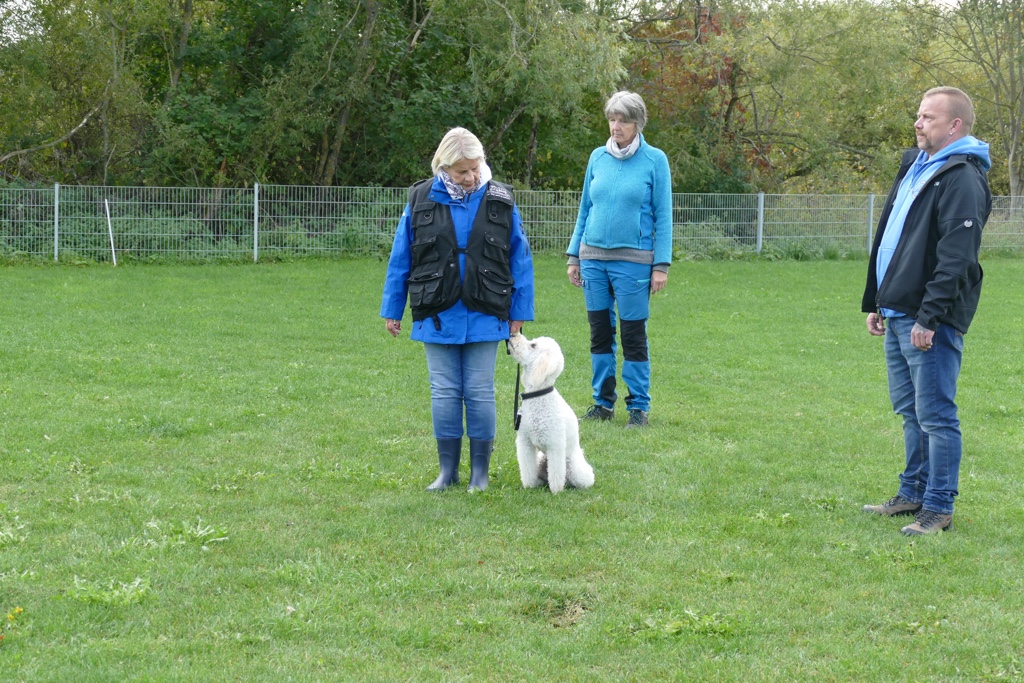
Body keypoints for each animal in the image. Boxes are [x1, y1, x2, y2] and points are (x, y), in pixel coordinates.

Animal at [507, 333, 595, 494]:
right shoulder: (525, 443)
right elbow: (527, 468)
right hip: (542, 458)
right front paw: (529, 486)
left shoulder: (555, 446)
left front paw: (556, 492)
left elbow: (556, 473)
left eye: (533, 345)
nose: (513, 334)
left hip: (573, 467)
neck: (539, 395)